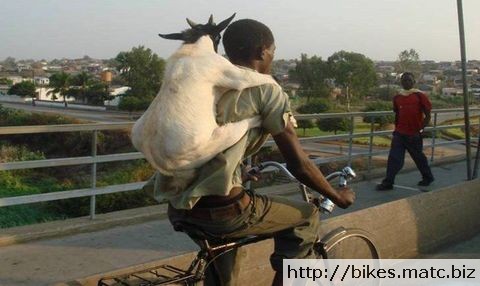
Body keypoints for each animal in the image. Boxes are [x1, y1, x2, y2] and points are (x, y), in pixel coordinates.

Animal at [132, 14, 282, 179]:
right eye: (218, 37)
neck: (194, 46)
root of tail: (159, 160)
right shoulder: (237, 76)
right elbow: (268, 78)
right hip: (219, 139)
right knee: (242, 127)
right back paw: (255, 120)